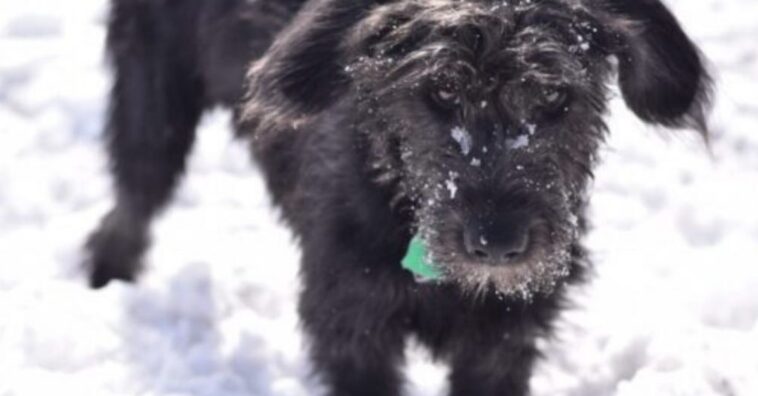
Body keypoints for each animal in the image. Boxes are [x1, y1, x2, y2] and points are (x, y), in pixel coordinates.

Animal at [86, 1, 716, 394]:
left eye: (554, 95)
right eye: (442, 90)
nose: (497, 243)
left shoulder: (502, 342)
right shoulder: (351, 327)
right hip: (153, 106)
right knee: (132, 201)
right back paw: (106, 276)